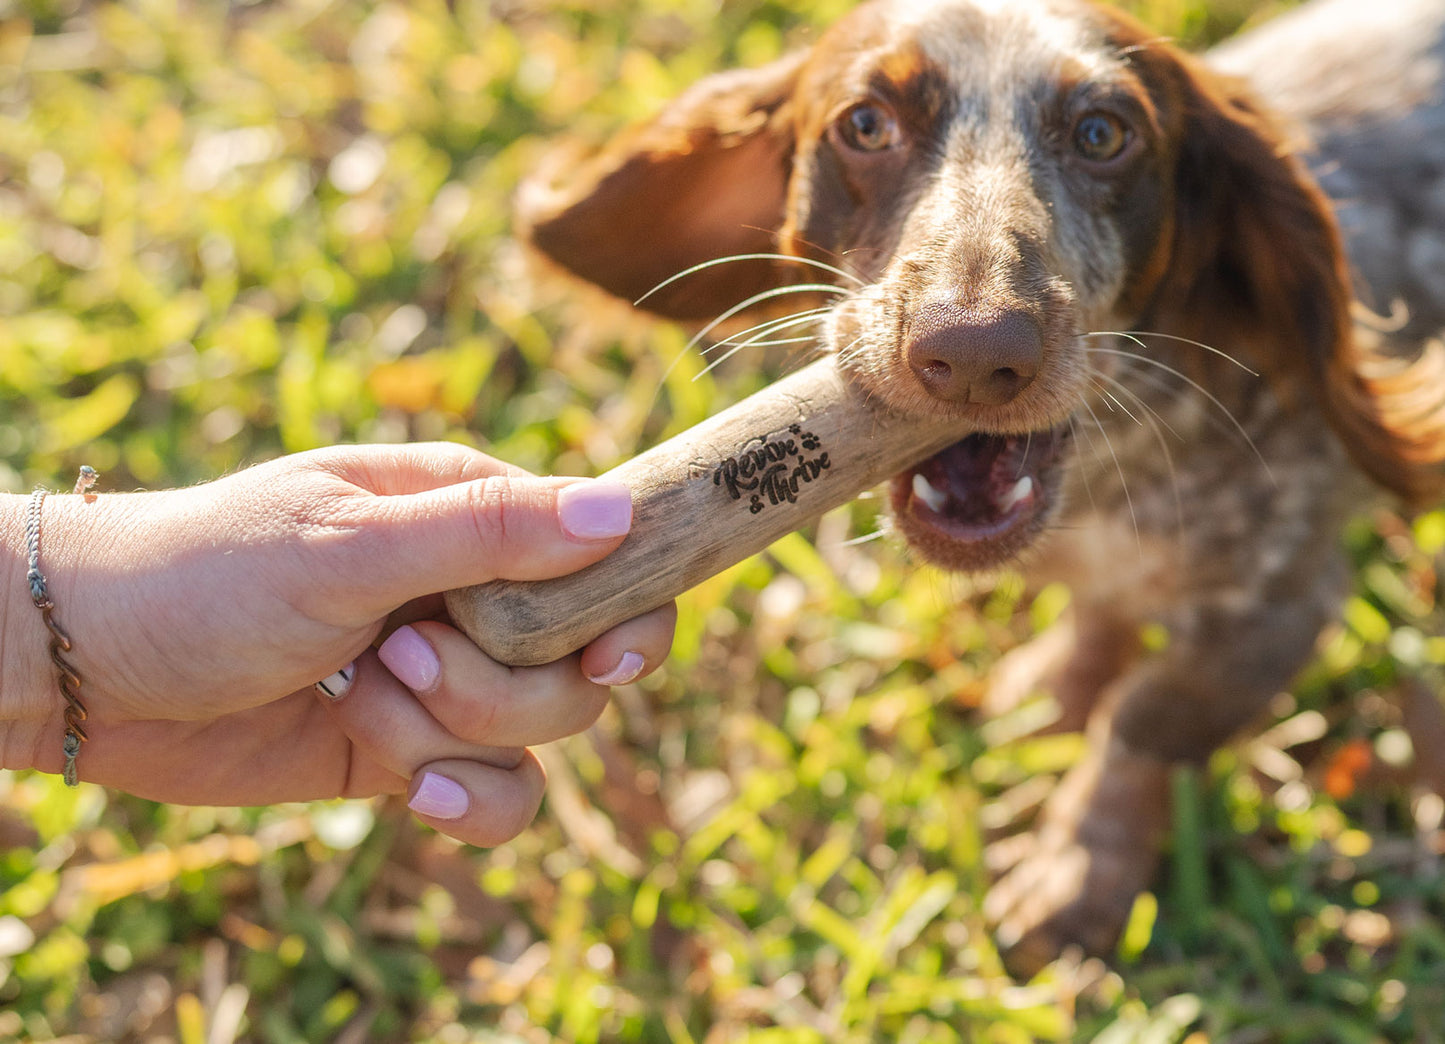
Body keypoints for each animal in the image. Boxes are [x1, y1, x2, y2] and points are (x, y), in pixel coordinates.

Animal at [514, 0, 1439, 965]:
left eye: (1102, 134)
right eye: (865, 124)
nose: (970, 350)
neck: (1113, 474)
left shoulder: (1272, 610)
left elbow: (1143, 723)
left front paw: (1076, 872)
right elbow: (1100, 634)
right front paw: (1049, 697)